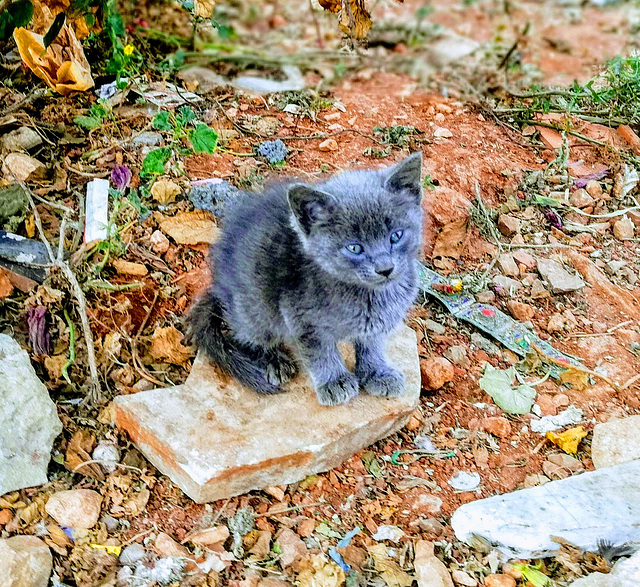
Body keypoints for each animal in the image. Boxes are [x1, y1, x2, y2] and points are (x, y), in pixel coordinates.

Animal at [188, 154, 422, 406]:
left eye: (396, 236)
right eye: (355, 248)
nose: (385, 268)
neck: (370, 296)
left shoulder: (379, 321)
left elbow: (372, 343)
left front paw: (377, 372)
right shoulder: (302, 319)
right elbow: (321, 352)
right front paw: (335, 381)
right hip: (254, 307)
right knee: (245, 334)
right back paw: (274, 361)